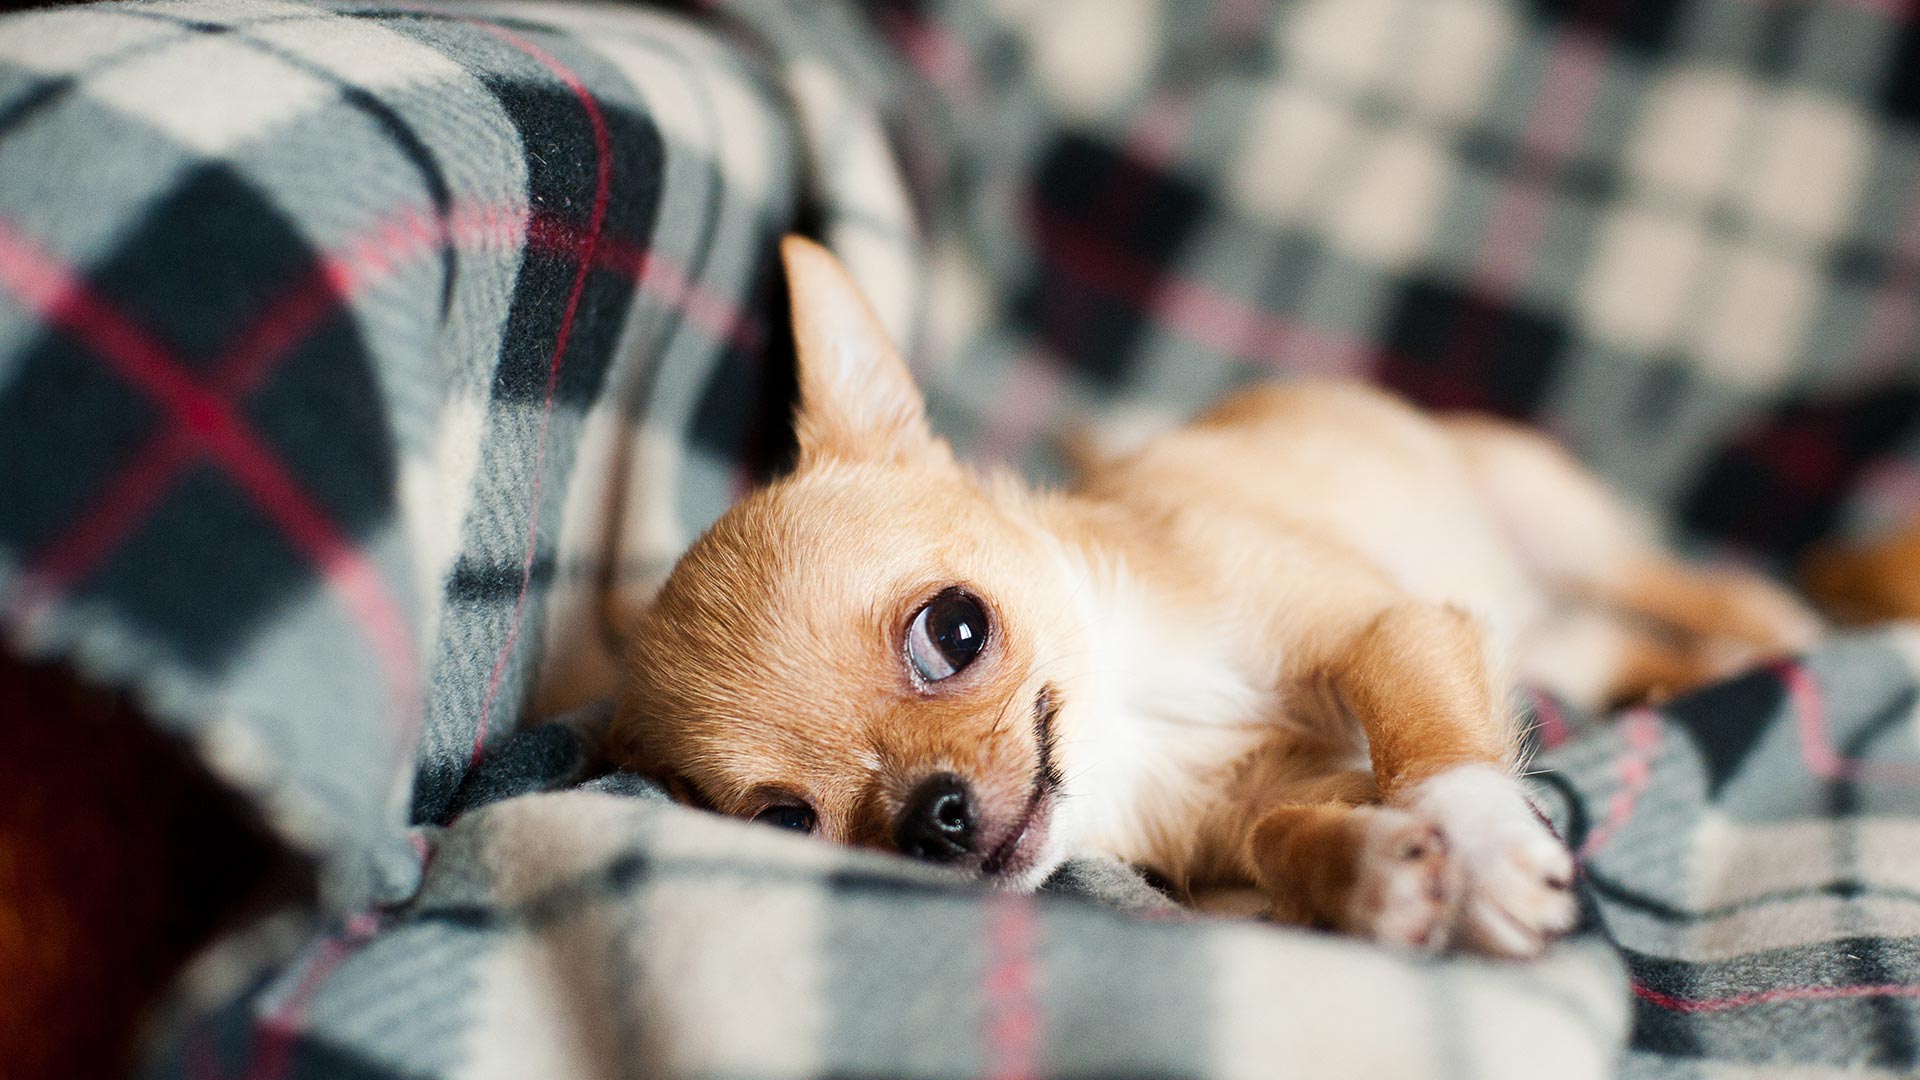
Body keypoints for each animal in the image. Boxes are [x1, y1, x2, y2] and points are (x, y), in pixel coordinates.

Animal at [609, 237, 1821, 956]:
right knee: (1614, 642)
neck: (1143, 709)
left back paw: (1776, 626)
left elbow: (1429, 746)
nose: (932, 817)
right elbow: (1290, 835)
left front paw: (1479, 844)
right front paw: (1374, 877)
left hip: (1557, 521)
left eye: (955, 629)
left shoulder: (1382, 626)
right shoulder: (1258, 814)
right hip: (1560, 641)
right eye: (788, 823)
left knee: (1688, 578)